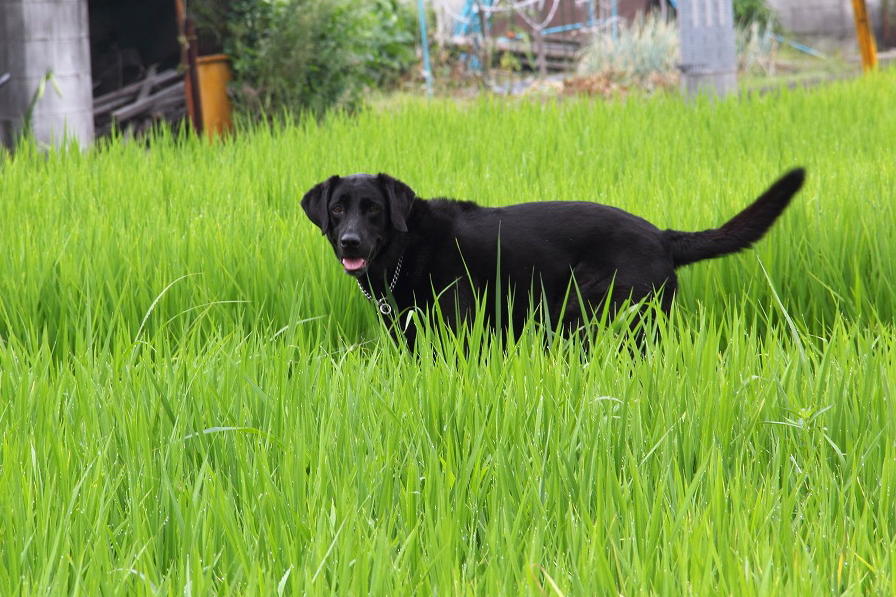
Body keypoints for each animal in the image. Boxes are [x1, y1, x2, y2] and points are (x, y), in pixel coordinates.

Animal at [300, 169, 804, 344]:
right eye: (339, 208)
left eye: (374, 209)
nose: (350, 242)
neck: (406, 250)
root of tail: (662, 237)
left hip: (604, 316)